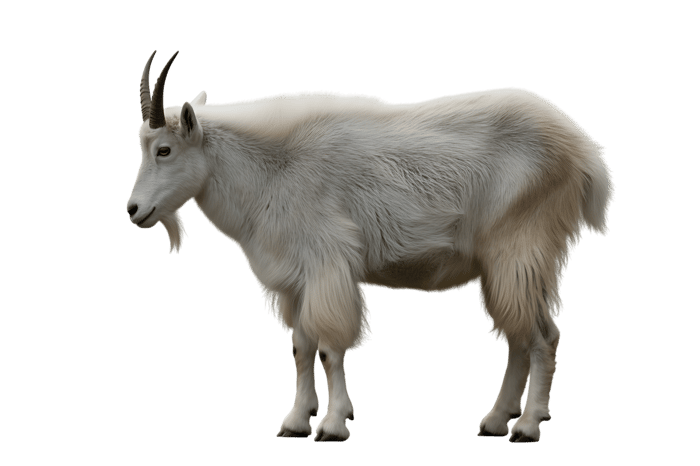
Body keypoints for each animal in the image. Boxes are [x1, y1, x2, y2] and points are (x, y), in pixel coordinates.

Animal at [126, 50, 614, 443]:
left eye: (164, 150)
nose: (134, 210)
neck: (272, 168)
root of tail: (583, 152)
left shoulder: (327, 263)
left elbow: (329, 347)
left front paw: (332, 424)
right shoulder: (296, 278)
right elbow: (300, 347)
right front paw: (296, 421)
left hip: (520, 247)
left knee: (542, 336)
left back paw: (526, 426)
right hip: (510, 264)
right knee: (519, 335)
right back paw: (496, 420)